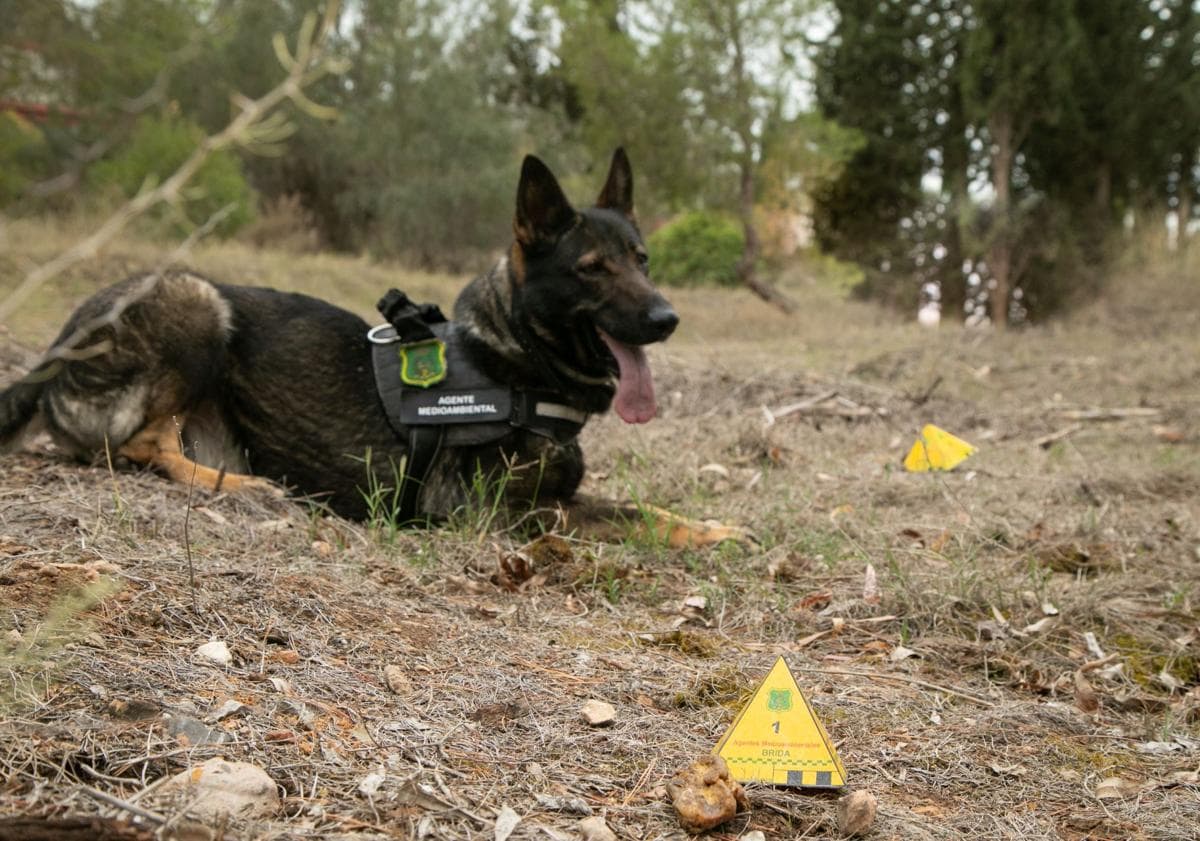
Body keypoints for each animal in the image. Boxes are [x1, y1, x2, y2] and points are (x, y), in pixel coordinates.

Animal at [0, 149, 744, 544]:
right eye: (592, 268)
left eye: (642, 260)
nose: (668, 317)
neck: (511, 360)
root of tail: (53, 352)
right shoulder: (494, 513)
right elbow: (618, 514)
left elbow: (644, 505)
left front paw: (718, 528)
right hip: (196, 299)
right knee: (139, 445)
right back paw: (244, 484)